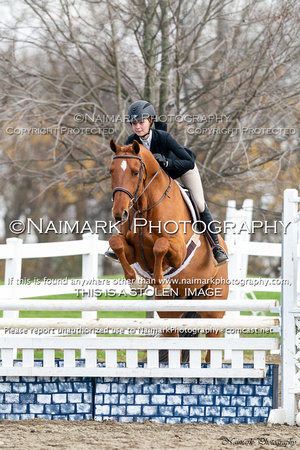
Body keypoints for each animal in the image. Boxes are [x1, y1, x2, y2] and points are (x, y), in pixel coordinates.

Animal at [109, 140, 229, 362]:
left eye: (135, 172)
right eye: (111, 171)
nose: (119, 213)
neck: (146, 206)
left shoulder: (179, 252)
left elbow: (161, 246)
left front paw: (160, 282)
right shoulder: (133, 251)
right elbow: (117, 244)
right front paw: (135, 282)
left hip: (213, 308)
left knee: (212, 341)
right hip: (171, 312)